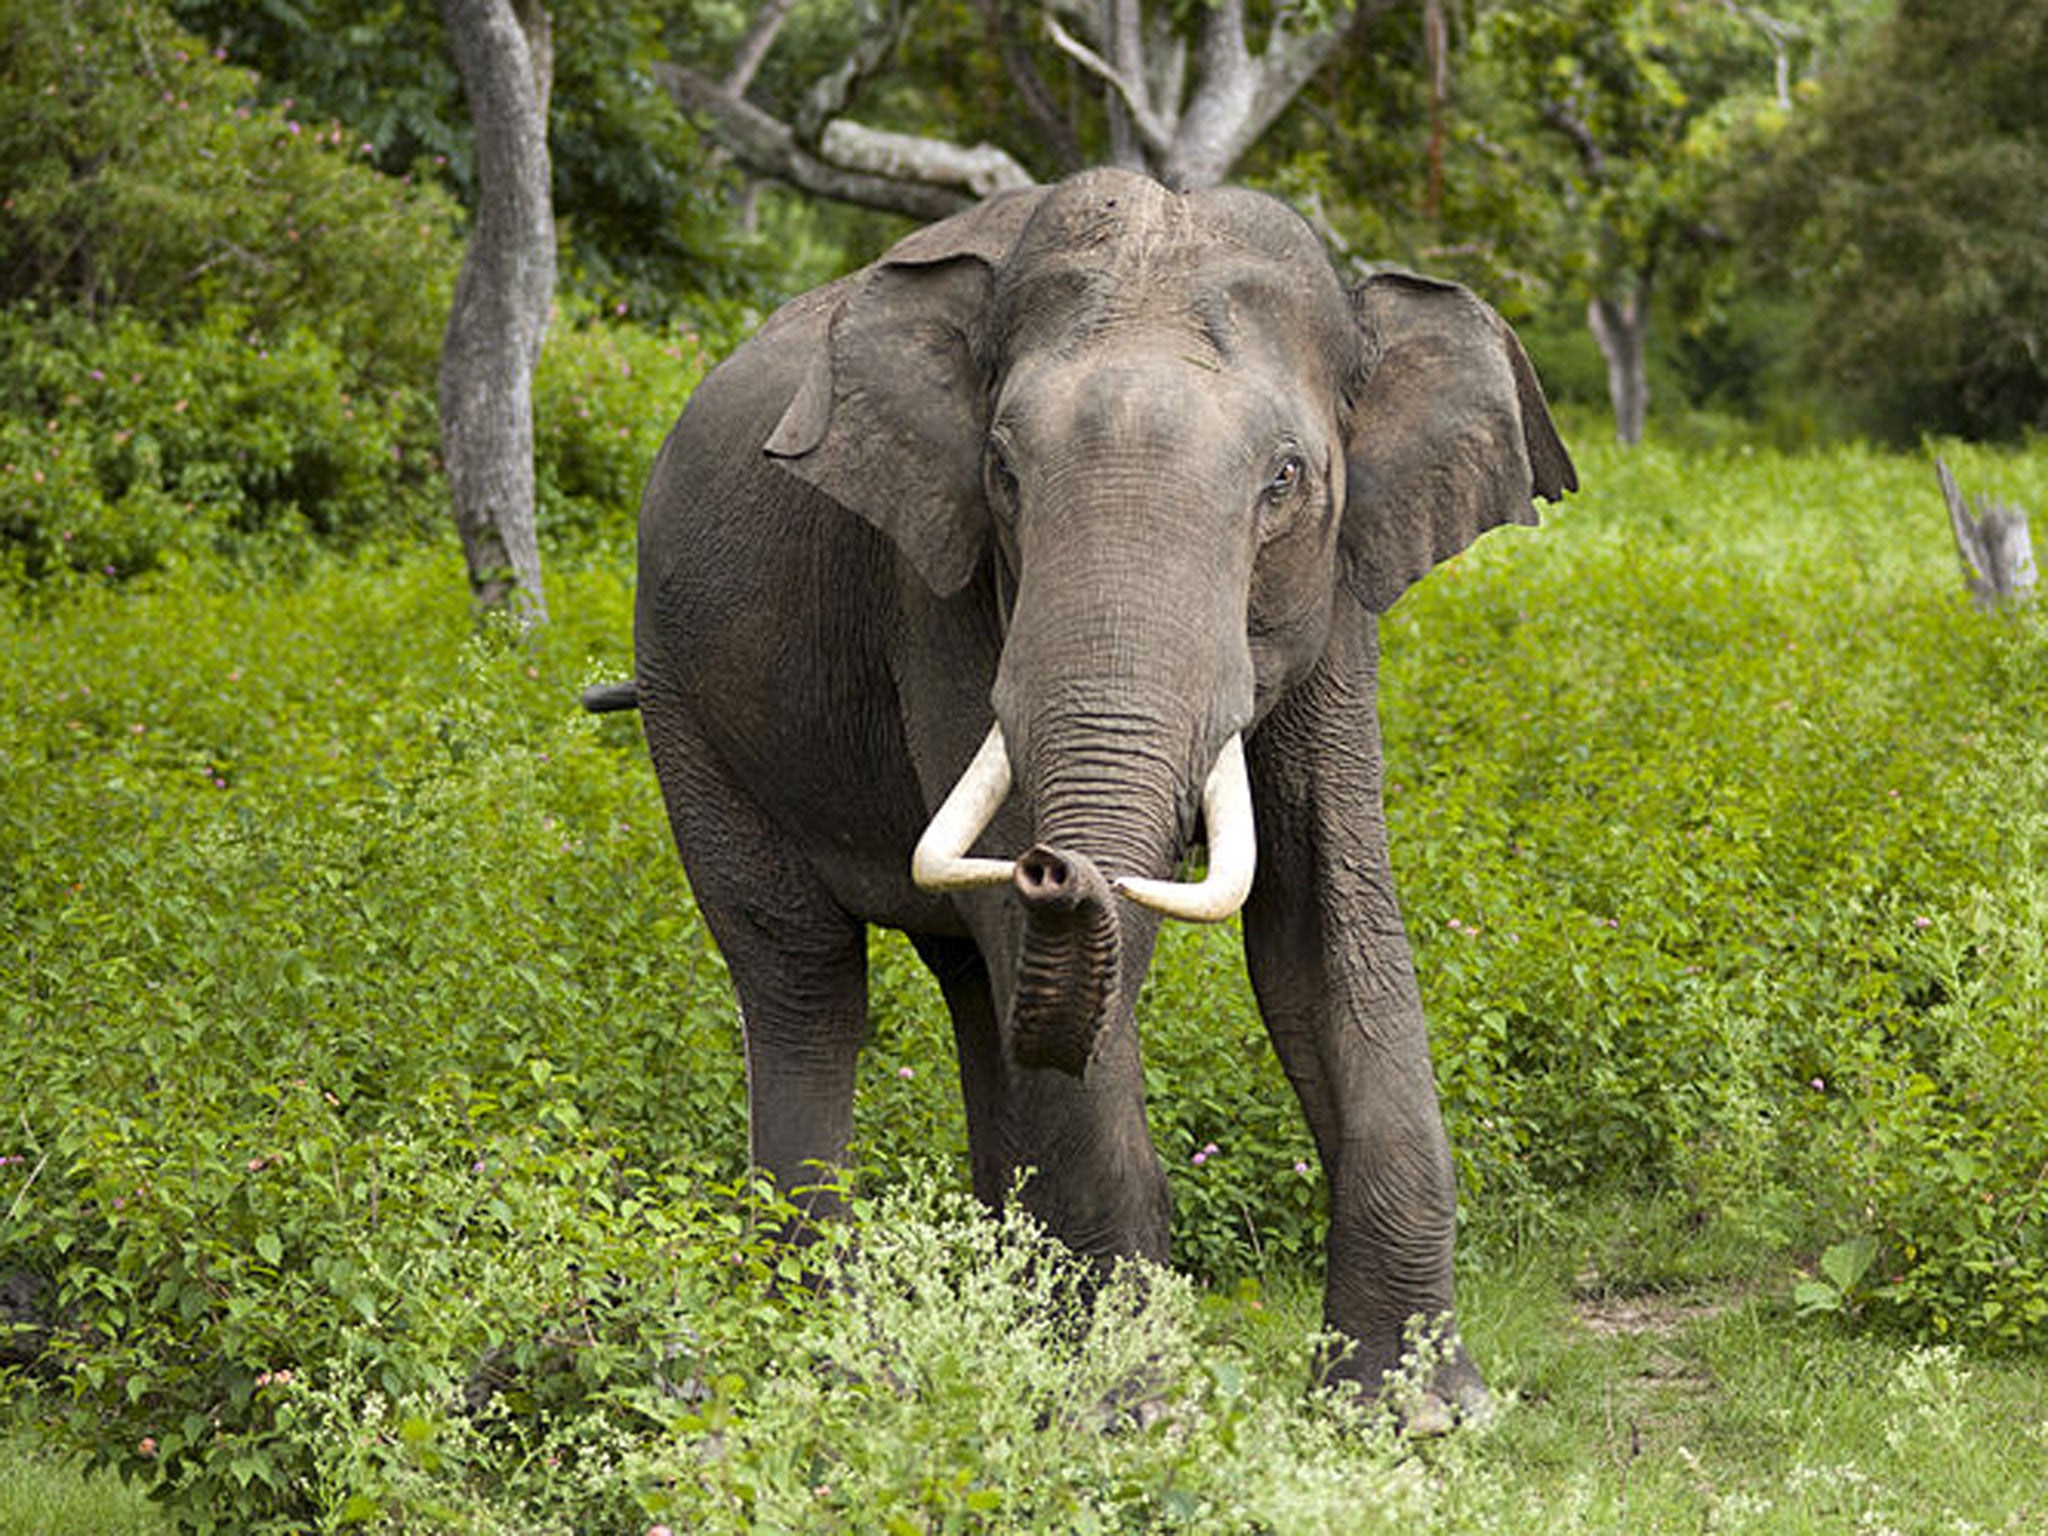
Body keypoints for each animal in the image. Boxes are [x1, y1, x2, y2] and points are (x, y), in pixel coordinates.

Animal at [585, 167, 1572, 1417]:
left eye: (1285, 480)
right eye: (1003, 472)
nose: (1057, 866)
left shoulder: (1340, 594)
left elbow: (1321, 923)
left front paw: (1418, 1414)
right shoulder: (938, 589)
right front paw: (1129, 1409)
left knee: (972, 987)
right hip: (683, 700)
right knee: (802, 974)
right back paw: (829, 1350)